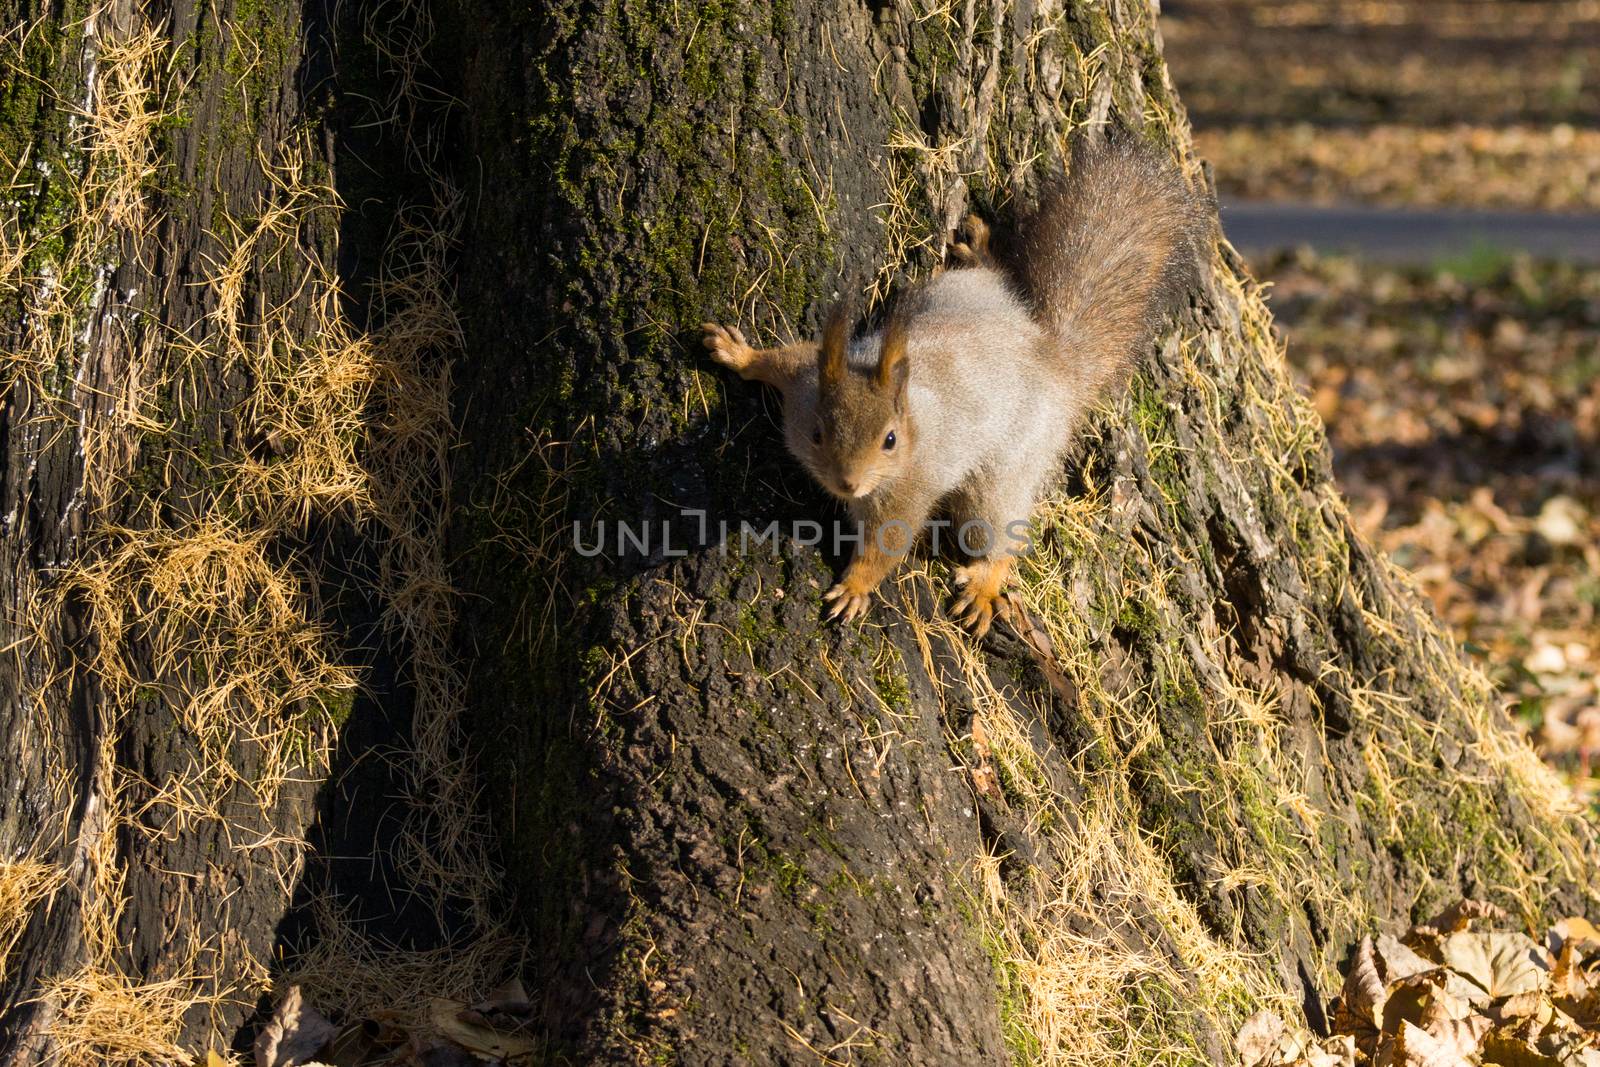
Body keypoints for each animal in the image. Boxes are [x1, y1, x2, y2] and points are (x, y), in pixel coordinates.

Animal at [700, 133, 1209, 633]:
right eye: (817, 434)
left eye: (890, 440)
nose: (849, 483)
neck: (909, 415)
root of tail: (1052, 358)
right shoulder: (807, 378)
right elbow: (781, 359)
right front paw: (737, 353)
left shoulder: (909, 488)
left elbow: (889, 541)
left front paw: (856, 586)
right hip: (963, 290)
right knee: (993, 275)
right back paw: (978, 250)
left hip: (1012, 462)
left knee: (999, 529)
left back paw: (984, 584)